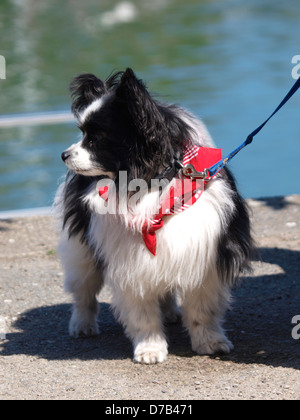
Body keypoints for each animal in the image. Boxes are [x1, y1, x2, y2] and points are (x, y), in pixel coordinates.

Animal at [54, 67, 253, 362]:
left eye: (94, 139)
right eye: (82, 133)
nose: (64, 154)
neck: (152, 185)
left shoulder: (202, 258)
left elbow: (202, 310)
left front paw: (209, 342)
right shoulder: (130, 264)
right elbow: (142, 314)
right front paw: (150, 349)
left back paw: (170, 313)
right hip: (81, 251)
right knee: (84, 290)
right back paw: (82, 325)